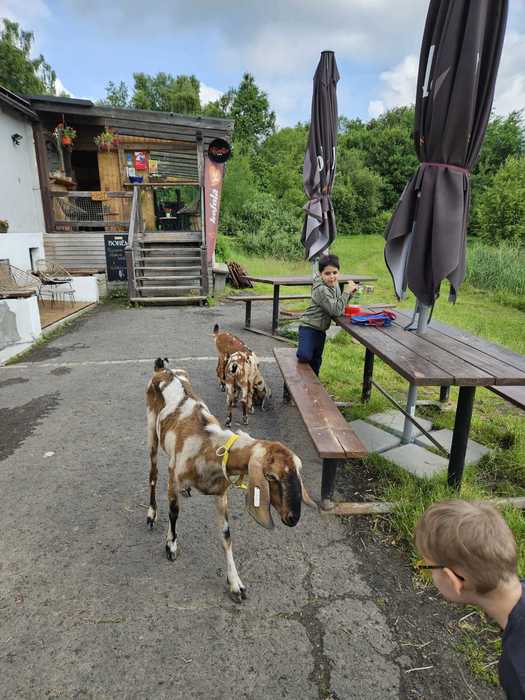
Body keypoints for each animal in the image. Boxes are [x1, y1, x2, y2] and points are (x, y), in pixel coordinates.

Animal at [146, 358, 314, 603]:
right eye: (271, 476)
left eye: (298, 471)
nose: (293, 518)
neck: (209, 446)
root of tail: (163, 369)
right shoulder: (174, 478)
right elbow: (174, 512)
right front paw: (171, 546)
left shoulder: (220, 493)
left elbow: (226, 535)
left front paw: (236, 584)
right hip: (151, 430)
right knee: (153, 473)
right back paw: (151, 514)